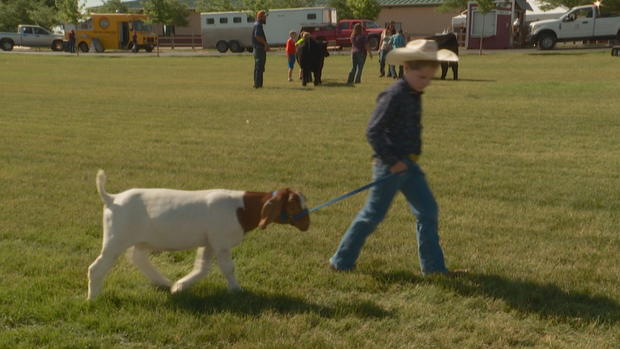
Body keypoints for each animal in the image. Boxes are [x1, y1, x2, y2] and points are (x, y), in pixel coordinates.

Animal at [87, 169, 310, 300]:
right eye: (293, 203)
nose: (307, 224)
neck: (242, 208)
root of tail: (112, 198)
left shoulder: (209, 243)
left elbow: (202, 267)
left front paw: (179, 286)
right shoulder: (221, 242)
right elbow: (228, 268)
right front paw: (237, 290)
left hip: (140, 239)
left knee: (138, 258)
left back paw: (164, 282)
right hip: (115, 240)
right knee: (96, 268)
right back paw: (93, 299)